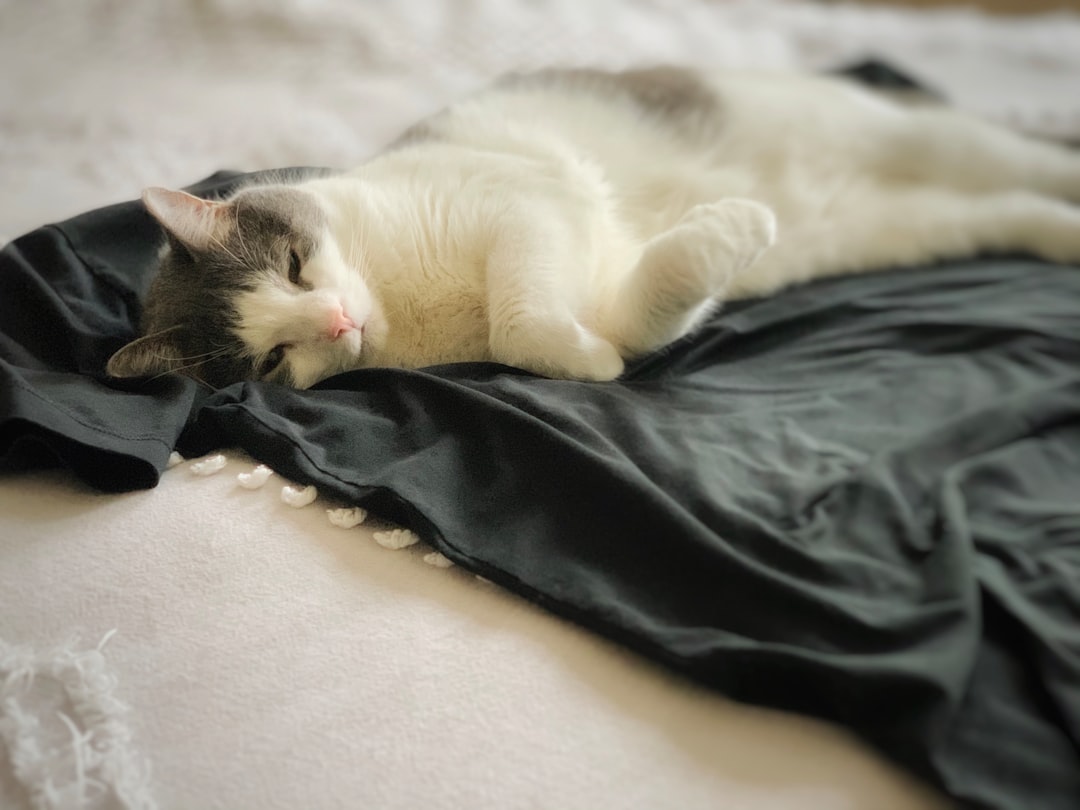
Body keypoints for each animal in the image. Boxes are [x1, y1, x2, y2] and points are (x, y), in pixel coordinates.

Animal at [105, 66, 1080, 390]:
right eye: (269, 358)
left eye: (298, 265)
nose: (338, 321)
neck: (402, 304)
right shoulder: (598, 271)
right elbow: (624, 316)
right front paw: (603, 353)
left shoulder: (527, 206)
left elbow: (517, 319)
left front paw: (580, 354)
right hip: (902, 228)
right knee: (999, 214)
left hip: (914, 138)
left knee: (1022, 162)